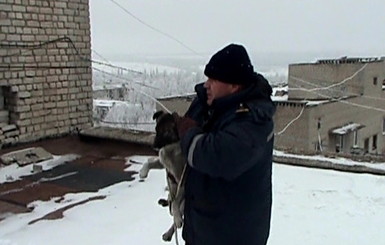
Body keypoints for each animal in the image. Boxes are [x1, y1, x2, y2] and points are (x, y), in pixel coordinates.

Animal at [139, 112, 187, 242]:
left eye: (165, 131)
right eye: (156, 129)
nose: (153, 146)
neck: (171, 148)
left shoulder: (183, 179)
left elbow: (175, 203)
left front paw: (177, 217)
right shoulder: (163, 165)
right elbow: (149, 162)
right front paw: (143, 172)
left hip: (184, 203)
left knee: (177, 212)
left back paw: (175, 223)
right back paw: (168, 233)